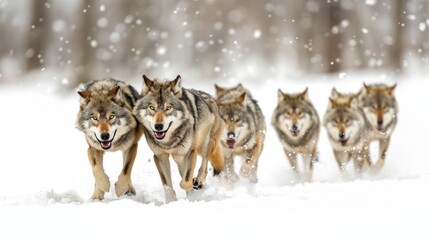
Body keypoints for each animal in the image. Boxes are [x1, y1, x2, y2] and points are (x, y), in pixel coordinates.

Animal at [134, 74, 224, 202]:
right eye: (152, 108)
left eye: (168, 108)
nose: (158, 126)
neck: (168, 143)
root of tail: (211, 98)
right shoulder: (160, 156)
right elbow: (167, 185)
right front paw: (171, 201)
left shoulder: (188, 154)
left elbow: (184, 182)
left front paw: (192, 193)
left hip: (204, 145)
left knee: (204, 165)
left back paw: (199, 182)